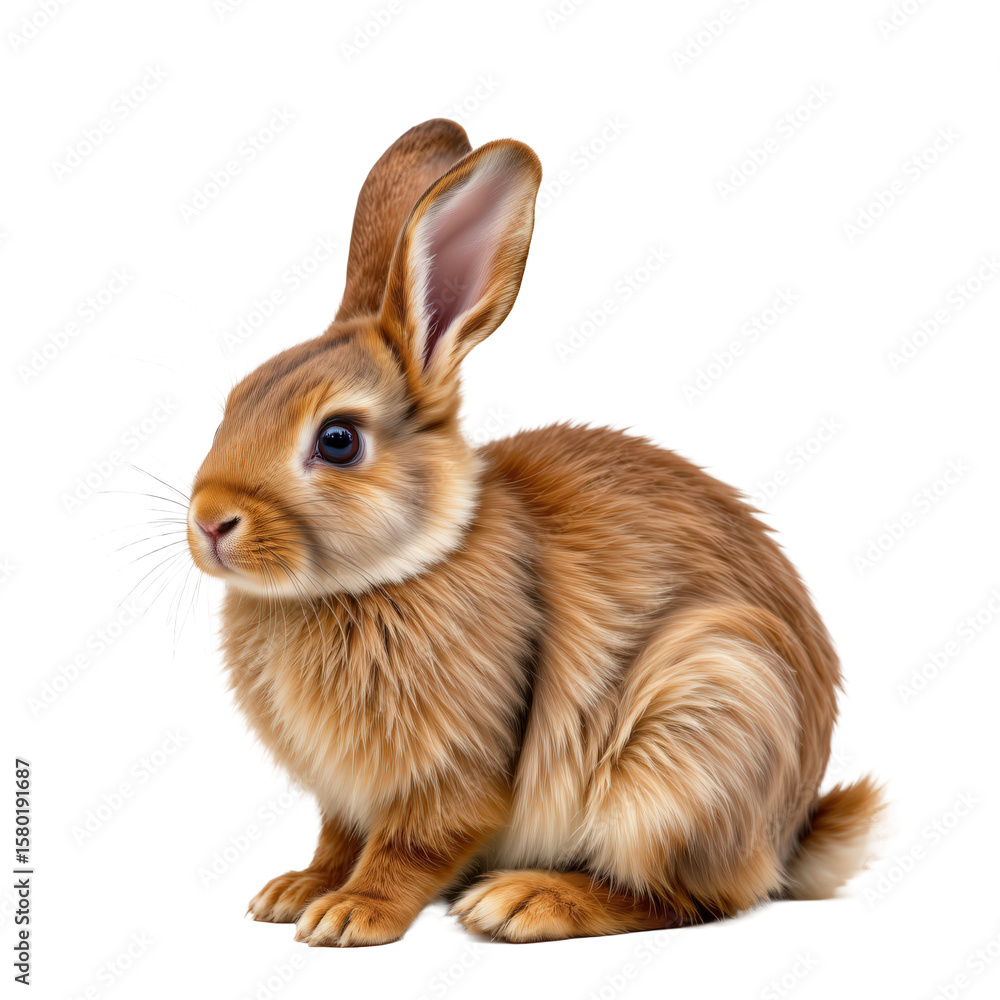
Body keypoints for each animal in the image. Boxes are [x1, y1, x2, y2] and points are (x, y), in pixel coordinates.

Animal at [185, 118, 883, 946]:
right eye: (236, 400)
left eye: (338, 441)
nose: (208, 522)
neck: (398, 566)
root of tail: (789, 835)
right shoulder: (344, 797)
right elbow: (338, 839)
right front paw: (296, 892)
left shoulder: (457, 765)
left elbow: (412, 845)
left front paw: (350, 915)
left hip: (701, 725)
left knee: (684, 898)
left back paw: (524, 902)